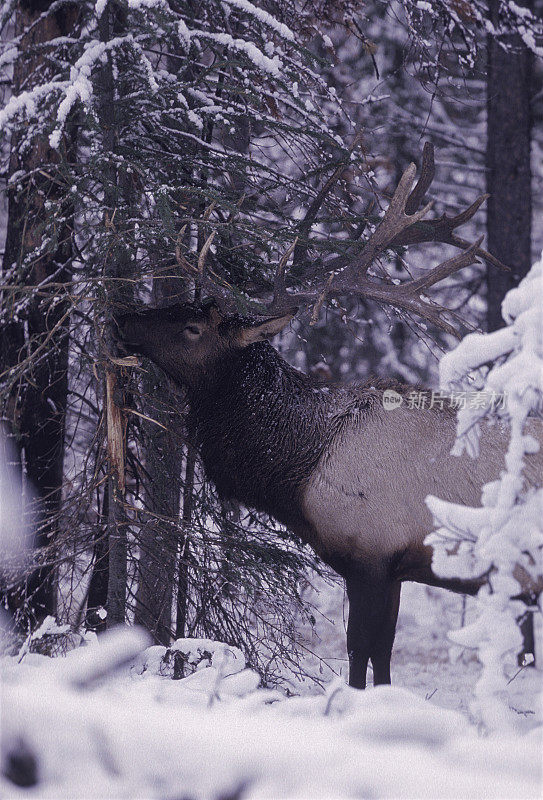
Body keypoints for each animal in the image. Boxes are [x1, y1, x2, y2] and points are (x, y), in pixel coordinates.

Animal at [116, 145, 543, 688]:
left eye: (192, 327)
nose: (122, 317)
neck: (297, 470)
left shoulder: (370, 556)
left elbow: (360, 651)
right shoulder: (394, 568)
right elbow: (383, 656)